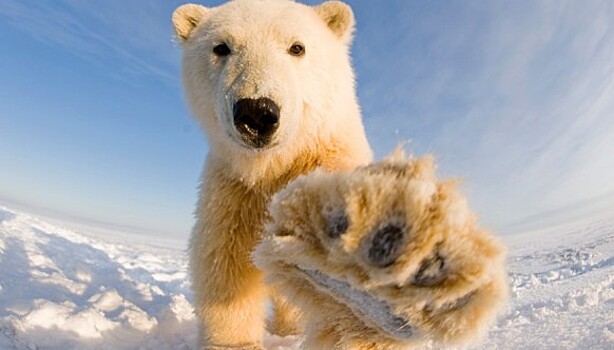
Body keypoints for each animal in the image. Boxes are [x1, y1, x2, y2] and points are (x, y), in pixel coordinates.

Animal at [174, 0, 376, 348]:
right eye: (221, 47)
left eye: (297, 47)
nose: (256, 111)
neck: (276, 166)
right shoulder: (234, 194)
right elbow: (226, 265)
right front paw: (235, 342)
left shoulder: (334, 185)